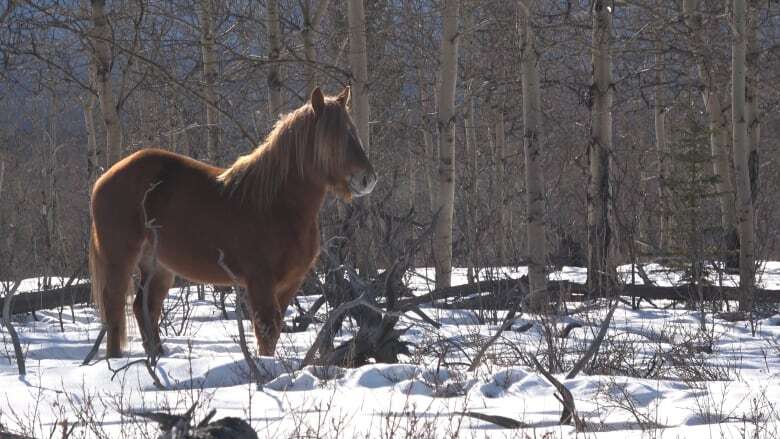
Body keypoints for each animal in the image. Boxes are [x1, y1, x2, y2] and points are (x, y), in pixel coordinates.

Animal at [90, 87, 376, 360]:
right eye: (335, 138)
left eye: (353, 132)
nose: (368, 179)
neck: (276, 203)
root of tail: (103, 179)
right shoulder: (260, 282)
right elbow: (266, 332)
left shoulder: (290, 284)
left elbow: (275, 330)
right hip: (120, 260)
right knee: (115, 308)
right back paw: (115, 360)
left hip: (158, 266)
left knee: (145, 308)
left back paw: (157, 357)